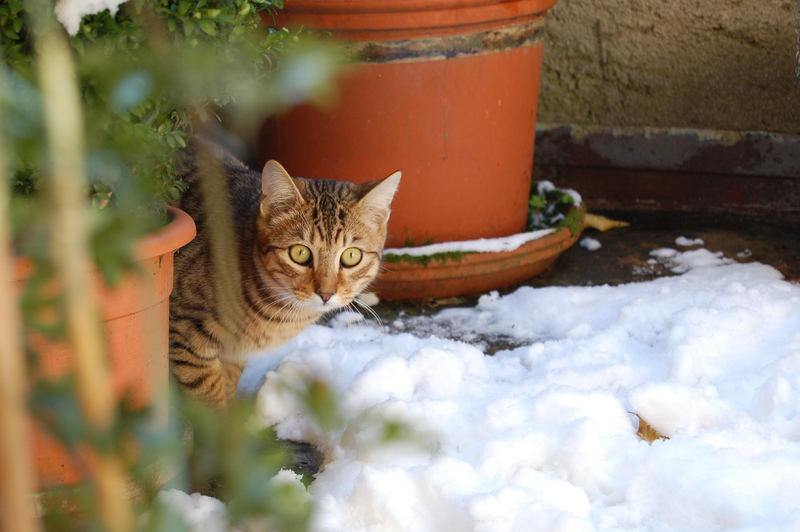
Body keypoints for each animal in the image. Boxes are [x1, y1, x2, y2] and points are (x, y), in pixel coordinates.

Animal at [169, 141, 400, 404]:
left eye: (351, 256)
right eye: (299, 253)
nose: (326, 294)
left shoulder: (233, 357)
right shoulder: (185, 337)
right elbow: (208, 401)